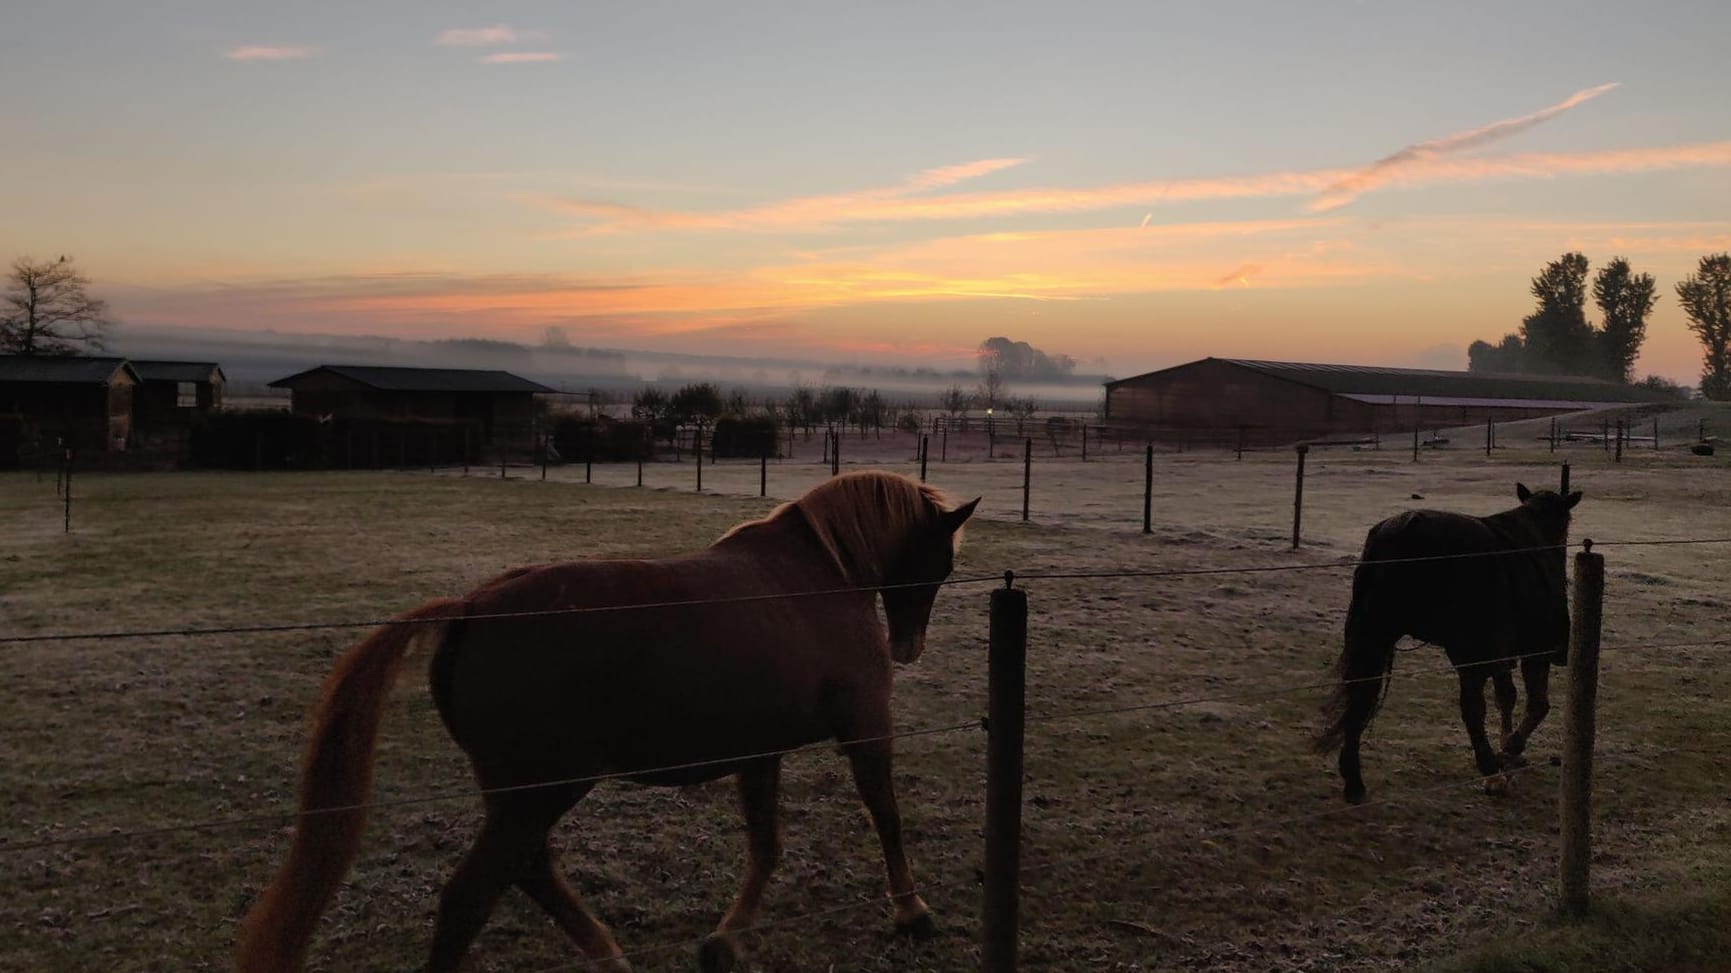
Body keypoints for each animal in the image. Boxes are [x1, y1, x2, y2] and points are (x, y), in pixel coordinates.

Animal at [237, 467, 983, 962]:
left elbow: (766, 845)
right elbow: (885, 816)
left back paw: (608, 954)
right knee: (470, 897)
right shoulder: (865, 728)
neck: (820, 576)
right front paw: (912, 910)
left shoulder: (758, 752)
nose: (907, 647)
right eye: (938, 563)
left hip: (523, 795)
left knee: (531, 871)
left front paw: (728, 936)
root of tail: (470, 609)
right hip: (540, 791)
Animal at [1315, 481, 1578, 799]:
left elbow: (1509, 698)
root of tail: (1406, 529)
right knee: (1472, 706)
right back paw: (1490, 769)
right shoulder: (1530, 650)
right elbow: (1531, 704)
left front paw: (1508, 755)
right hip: (1466, 648)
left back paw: (1354, 781)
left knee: (1361, 695)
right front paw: (1508, 754)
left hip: (1374, 635)